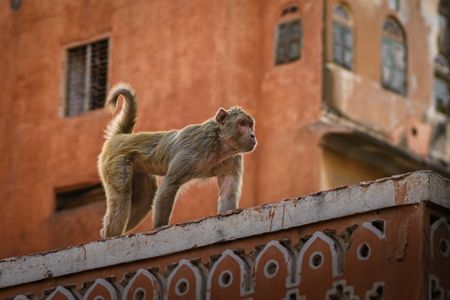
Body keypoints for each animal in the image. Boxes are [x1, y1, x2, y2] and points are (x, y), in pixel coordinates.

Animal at [97, 83, 256, 238]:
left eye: (250, 125)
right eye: (242, 123)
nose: (252, 135)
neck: (220, 144)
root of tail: (121, 136)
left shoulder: (233, 160)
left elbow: (228, 194)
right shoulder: (194, 149)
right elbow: (169, 185)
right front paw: (159, 229)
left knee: (144, 200)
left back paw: (106, 233)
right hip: (116, 162)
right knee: (121, 198)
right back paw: (110, 236)